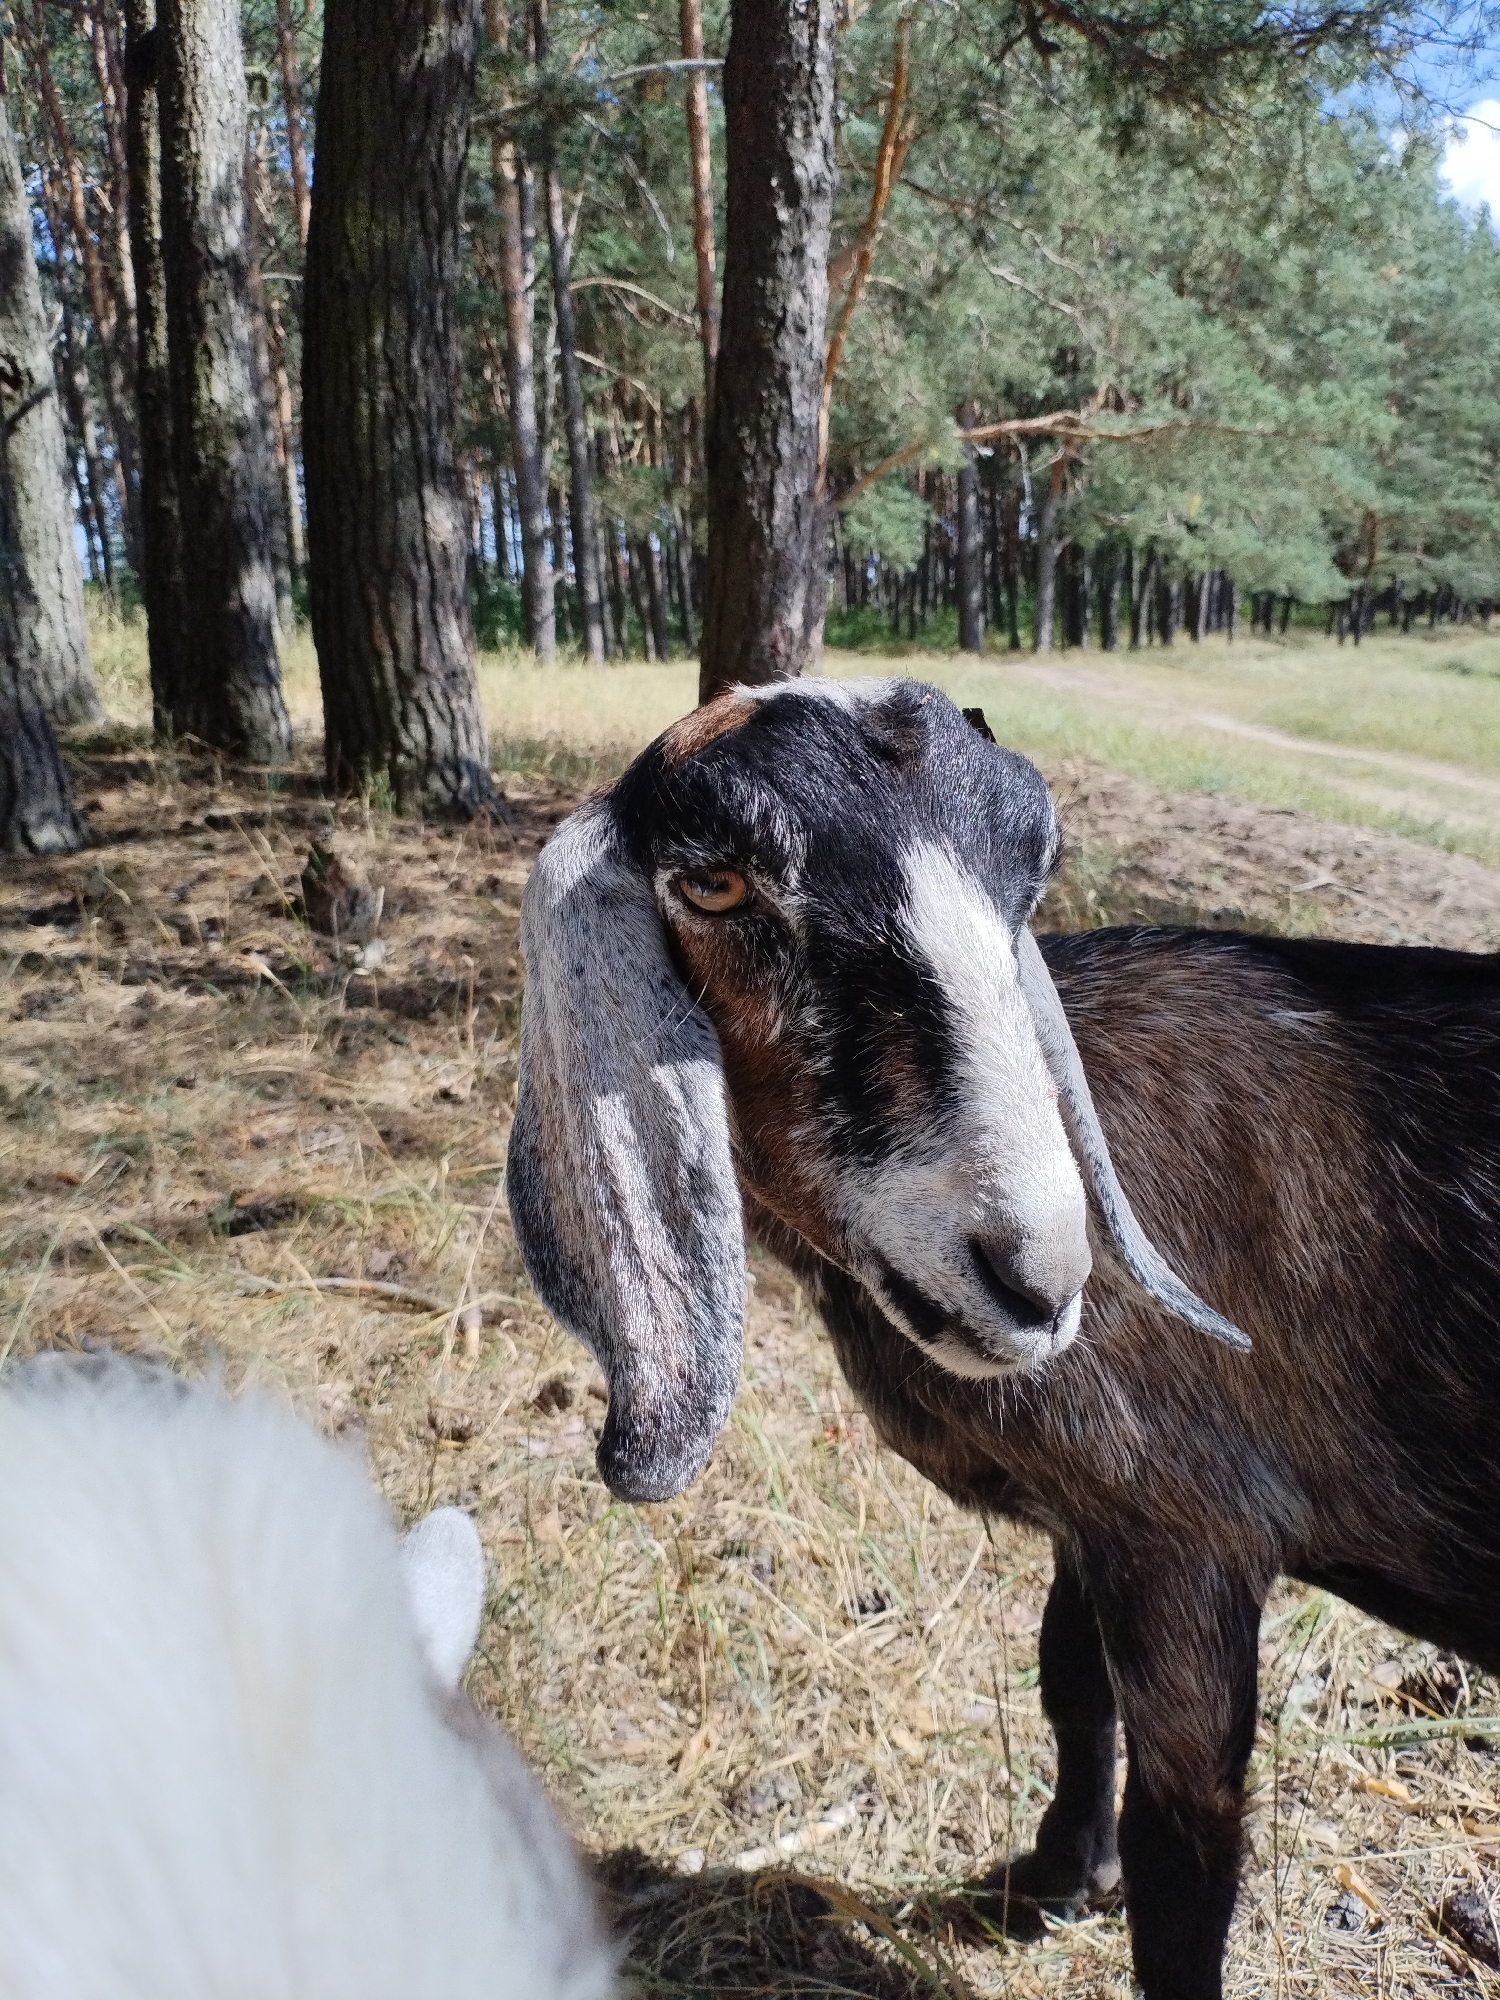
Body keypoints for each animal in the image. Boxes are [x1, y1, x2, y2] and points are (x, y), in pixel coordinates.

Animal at [506, 674, 1500, 2000]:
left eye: (1035, 868)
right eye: (713, 883)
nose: (1038, 1271)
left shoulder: (1195, 1528)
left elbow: (1186, 1852)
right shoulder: (1112, 1506)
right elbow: (1069, 1677)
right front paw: (1053, 1875)